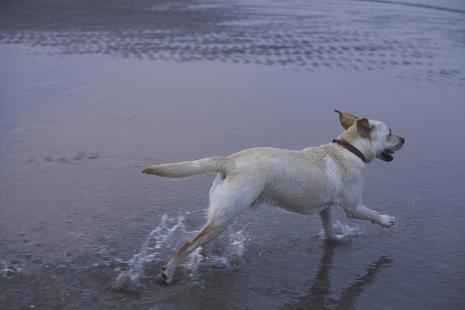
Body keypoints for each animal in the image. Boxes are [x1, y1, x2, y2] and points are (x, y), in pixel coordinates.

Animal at [141, 111, 402, 284]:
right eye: (390, 133)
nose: (404, 139)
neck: (349, 149)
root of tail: (229, 160)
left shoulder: (325, 209)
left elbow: (328, 230)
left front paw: (335, 239)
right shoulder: (353, 206)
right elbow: (372, 213)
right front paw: (387, 220)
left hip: (222, 218)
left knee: (204, 244)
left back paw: (213, 260)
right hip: (226, 216)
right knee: (188, 244)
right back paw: (168, 272)